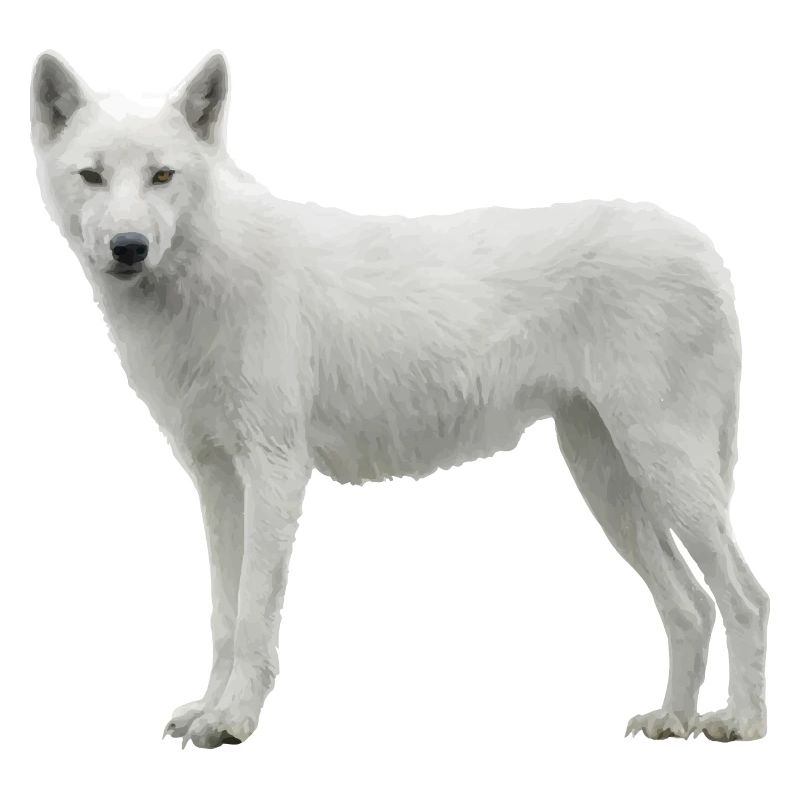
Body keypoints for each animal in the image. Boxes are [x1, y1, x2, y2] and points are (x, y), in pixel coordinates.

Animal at [30, 51, 769, 748]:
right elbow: (222, 614)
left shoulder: (275, 471)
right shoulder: (215, 480)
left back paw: (740, 723)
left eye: (162, 176)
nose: (129, 247)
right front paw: (207, 711)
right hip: (609, 482)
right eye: (92, 176)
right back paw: (672, 719)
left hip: (663, 471)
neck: (205, 277)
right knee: (690, 607)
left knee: (746, 598)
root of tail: (705, 248)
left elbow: (252, 615)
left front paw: (234, 721)